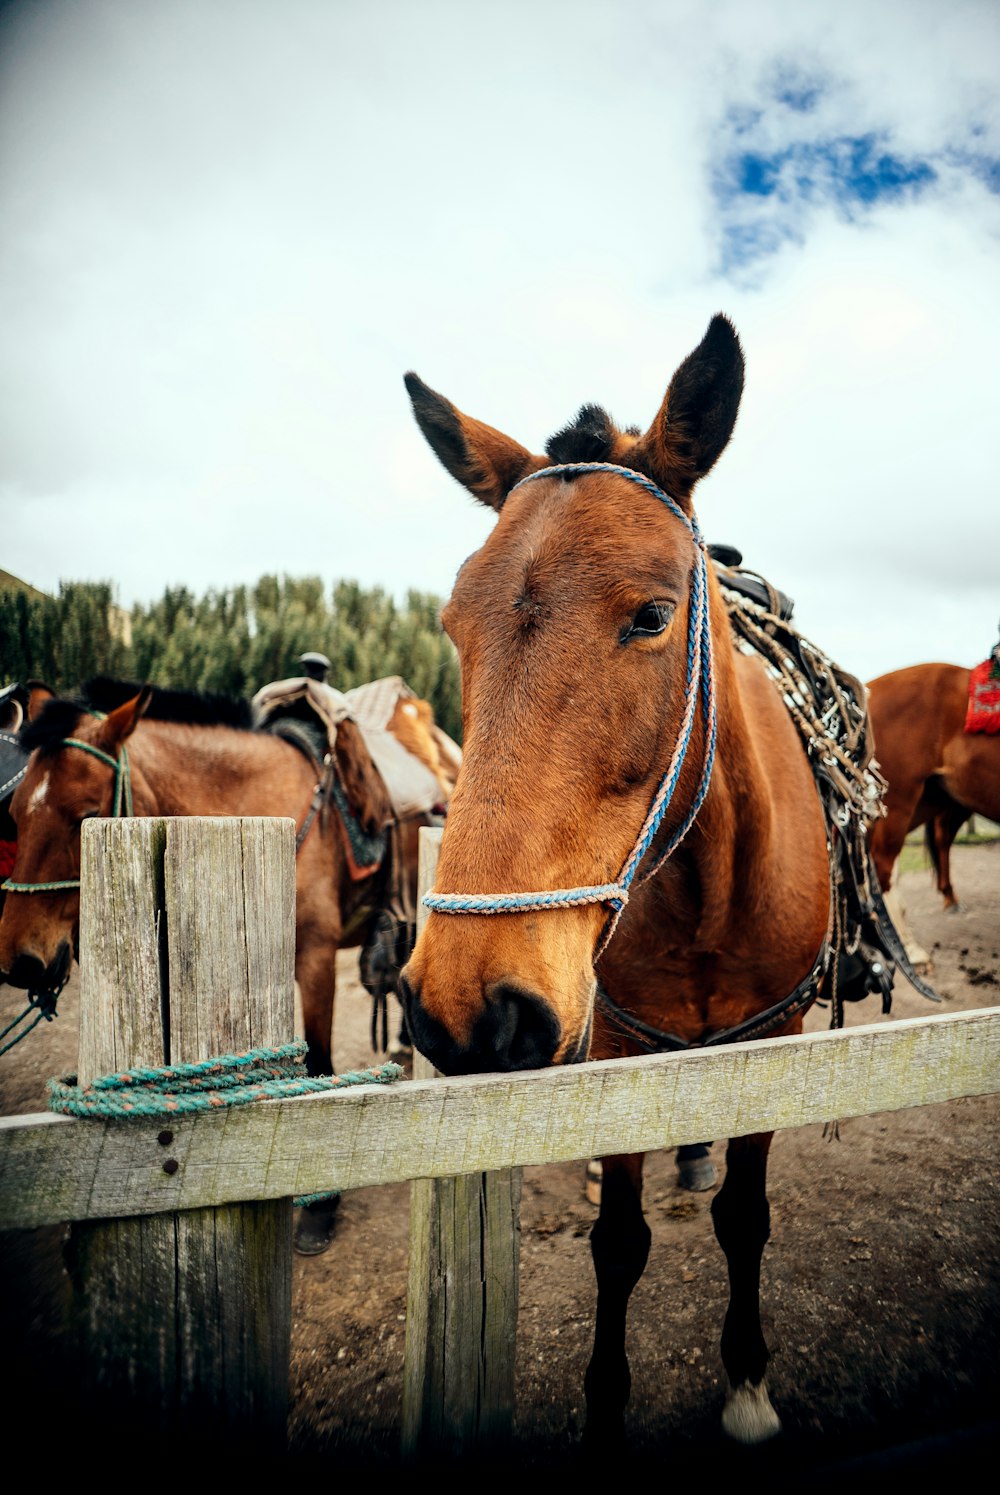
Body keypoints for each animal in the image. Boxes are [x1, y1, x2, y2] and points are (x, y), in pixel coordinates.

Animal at [394, 315, 860, 1447]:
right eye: (455, 625)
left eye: (651, 616)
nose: (465, 1002)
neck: (707, 896)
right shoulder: (611, 1040)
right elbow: (618, 1240)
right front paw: (606, 1406)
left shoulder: (774, 1038)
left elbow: (744, 1214)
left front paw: (746, 1379)